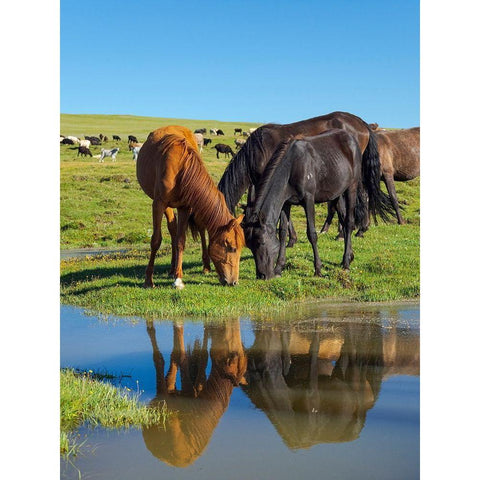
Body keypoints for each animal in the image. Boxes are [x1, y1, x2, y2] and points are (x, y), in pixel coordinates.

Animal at [137, 124, 246, 288]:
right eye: (232, 248)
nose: (234, 282)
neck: (181, 169)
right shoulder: (158, 204)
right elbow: (156, 240)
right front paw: (149, 280)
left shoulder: (185, 207)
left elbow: (181, 241)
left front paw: (178, 279)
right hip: (165, 205)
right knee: (172, 228)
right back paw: (171, 268)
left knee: (196, 228)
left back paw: (202, 266)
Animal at [218, 110, 394, 244]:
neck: (256, 151)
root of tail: (361, 123)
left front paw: (291, 240)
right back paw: (357, 230)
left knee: (361, 196)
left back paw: (354, 231)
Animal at [244, 130, 394, 282]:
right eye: (249, 245)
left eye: (261, 242)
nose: (262, 275)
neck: (292, 167)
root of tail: (352, 138)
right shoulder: (286, 203)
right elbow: (282, 233)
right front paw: (278, 268)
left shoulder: (308, 200)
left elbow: (312, 234)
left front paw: (318, 270)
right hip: (336, 193)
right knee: (343, 219)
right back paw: (349, 256)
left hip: (351, 187)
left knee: (349, 222)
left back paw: (346, 262)